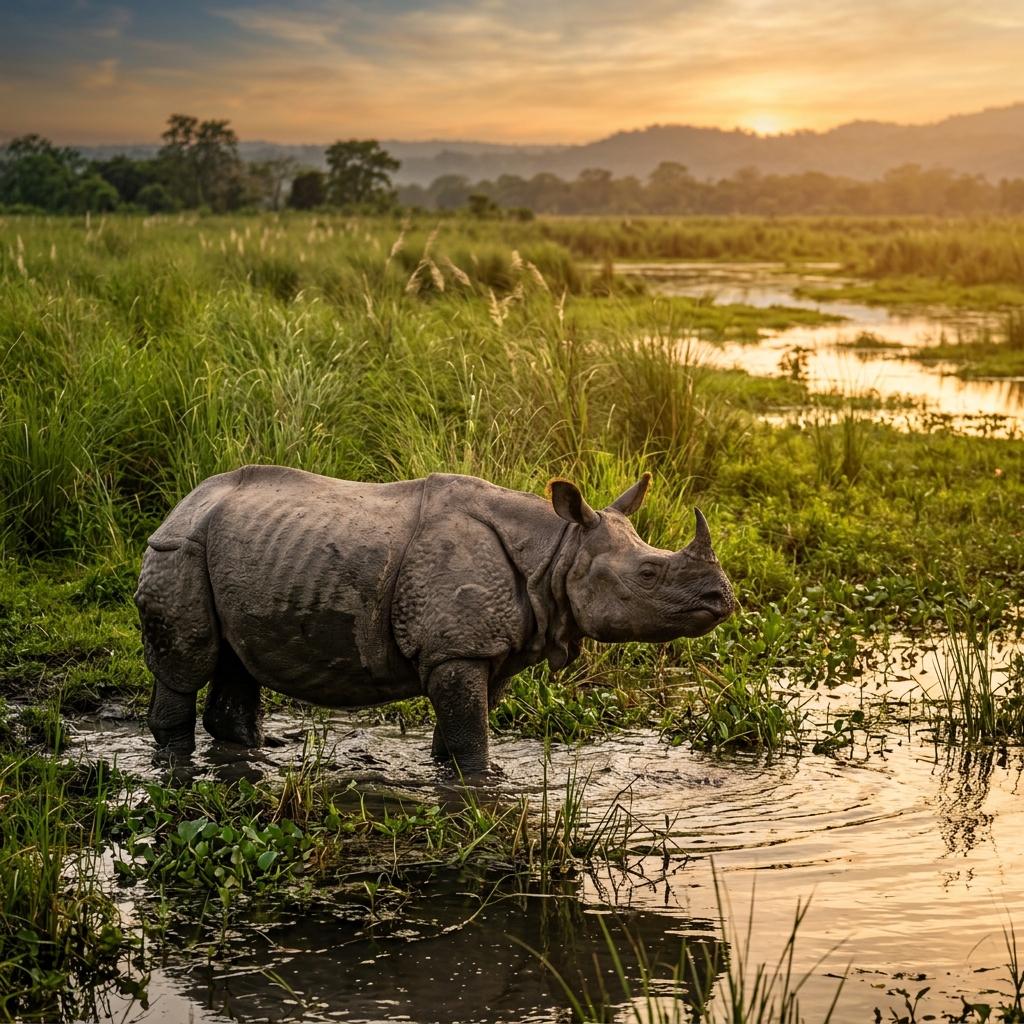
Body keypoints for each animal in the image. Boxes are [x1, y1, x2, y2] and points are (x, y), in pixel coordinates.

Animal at [135, 467, 735, 770]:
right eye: (649, 574)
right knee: (186, 667)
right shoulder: (456, 649)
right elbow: (471, 737)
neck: (558, 550)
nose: (723, 598)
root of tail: (182, 503)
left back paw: (256, 753)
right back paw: (176, 762)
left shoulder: (487, 650)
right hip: (177, 550)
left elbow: (459, 732)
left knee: (238, 660)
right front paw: (484, 781)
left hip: (242, 548)